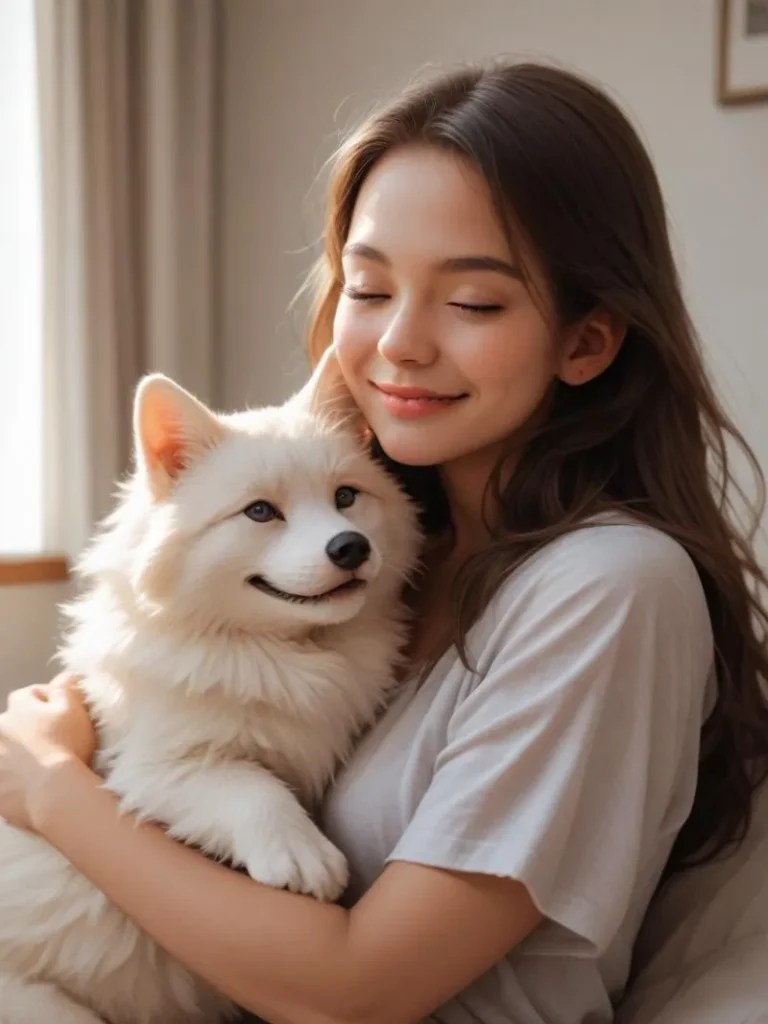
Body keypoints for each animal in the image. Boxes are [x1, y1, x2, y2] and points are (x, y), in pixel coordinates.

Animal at [0, 354, 421, 1024]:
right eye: (260, 512)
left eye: (346, 497)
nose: (351, 547)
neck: (272, 652)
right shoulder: (147, 769)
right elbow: (245, 783)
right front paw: (301, 853)